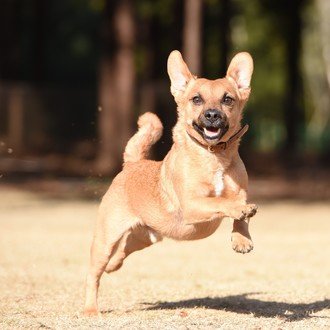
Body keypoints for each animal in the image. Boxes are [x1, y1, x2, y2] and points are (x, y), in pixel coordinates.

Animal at [83, 50, 258, 316]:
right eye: (196, 99)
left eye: (227, 99)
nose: (212, 115)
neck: (214, 155)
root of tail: (132, 164)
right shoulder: (192, 204)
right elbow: (221, 202)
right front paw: (239, 210)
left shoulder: (240, 191)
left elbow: (240, 215)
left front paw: (242, 239)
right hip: (105, 239)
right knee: (94, 275)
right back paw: (91, 309)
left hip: (144, 238)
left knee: (122, 251)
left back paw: (114, 266)